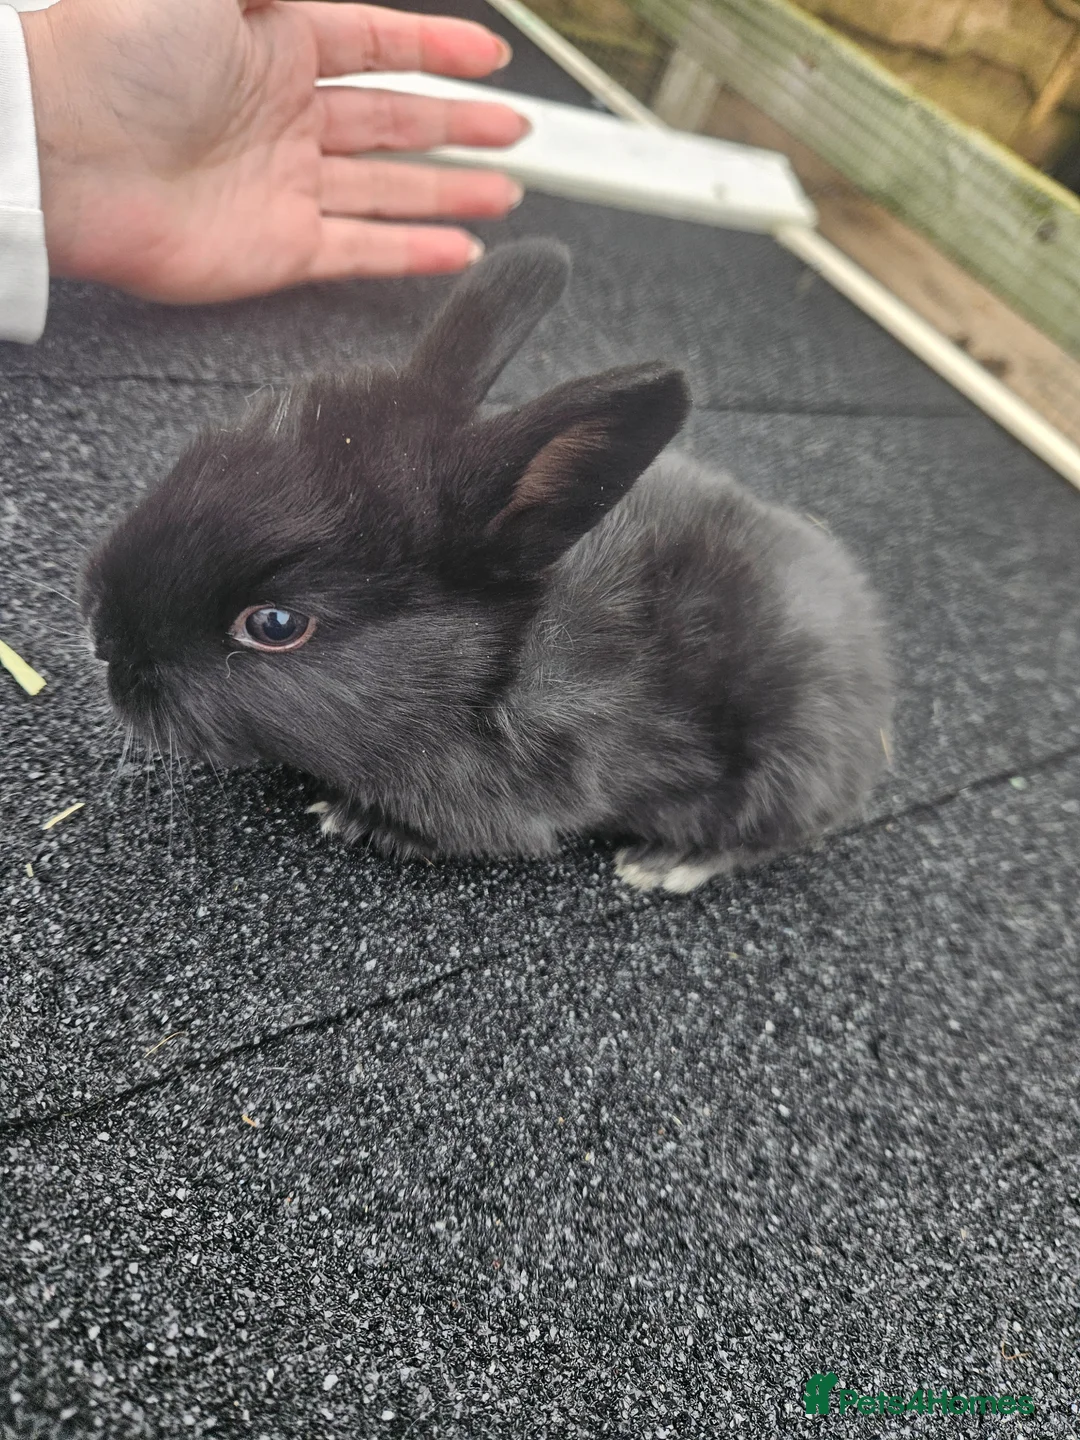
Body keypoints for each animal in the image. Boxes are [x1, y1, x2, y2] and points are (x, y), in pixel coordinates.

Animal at [81, 239, 892, 892]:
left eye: (275, 625)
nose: (102, 636)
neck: (494, 667)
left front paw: (351, 819)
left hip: (785, 769)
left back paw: (663, 865)